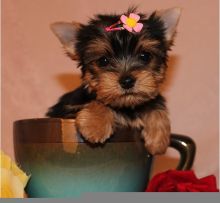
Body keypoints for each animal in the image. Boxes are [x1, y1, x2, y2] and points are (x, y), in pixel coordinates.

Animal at [46, 7, 180, 155]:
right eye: (103, 60)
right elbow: (100, 102)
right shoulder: (67, 110)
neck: (126, 106)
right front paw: (95, 125)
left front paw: (158, 139)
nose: (127, 81)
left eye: (145, 56)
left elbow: (154, 105)